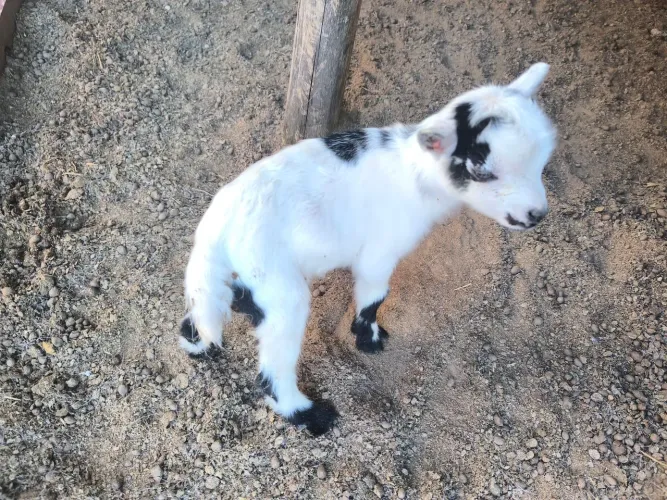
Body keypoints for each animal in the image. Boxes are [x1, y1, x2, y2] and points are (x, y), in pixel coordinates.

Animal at [180, 63, 557, 435]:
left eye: (542, 160)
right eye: (481, 169)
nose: (536, 215)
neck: (414, 174)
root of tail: (214, 227)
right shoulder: (379, 253)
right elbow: (374, 296)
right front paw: (369, 339)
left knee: (203, 312)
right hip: (278, 287)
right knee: (272, 372)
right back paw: (311, 416)